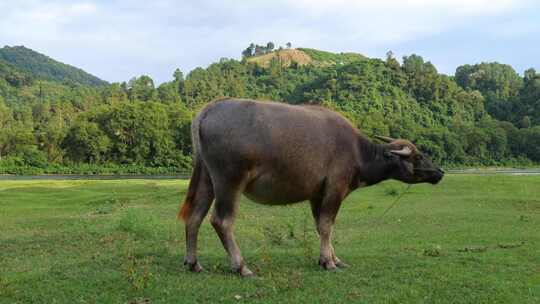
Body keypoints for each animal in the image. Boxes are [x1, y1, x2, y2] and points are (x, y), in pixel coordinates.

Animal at [177, 97, 442, 276]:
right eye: (418, 156)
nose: (439, 172)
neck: (358, 151)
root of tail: (209, 109)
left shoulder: (317, 194)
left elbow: (321, 226)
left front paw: (333, 258)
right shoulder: (335, 189)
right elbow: (327, 225)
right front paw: (329, 262)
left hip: (207, 179)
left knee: (194, 217)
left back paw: (193, 263)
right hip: (230, 181)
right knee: (221, 221)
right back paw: (241, 266)